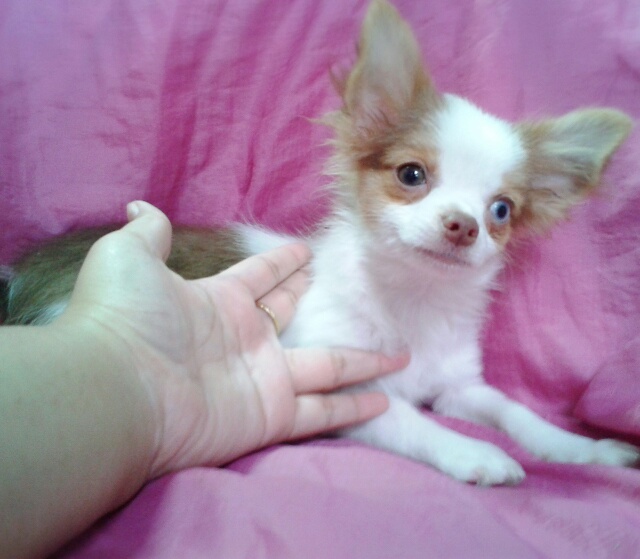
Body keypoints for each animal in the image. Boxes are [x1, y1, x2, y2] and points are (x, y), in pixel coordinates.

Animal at [3, 0, 638, 485]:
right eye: (411, 175)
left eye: (501, 210)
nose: (464, 224)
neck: (413, 299)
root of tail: (22, 275)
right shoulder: (358, 391)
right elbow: (416, 424)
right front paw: (475, 453)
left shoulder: (458, 387)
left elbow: (514, 410)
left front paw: (583, 449)